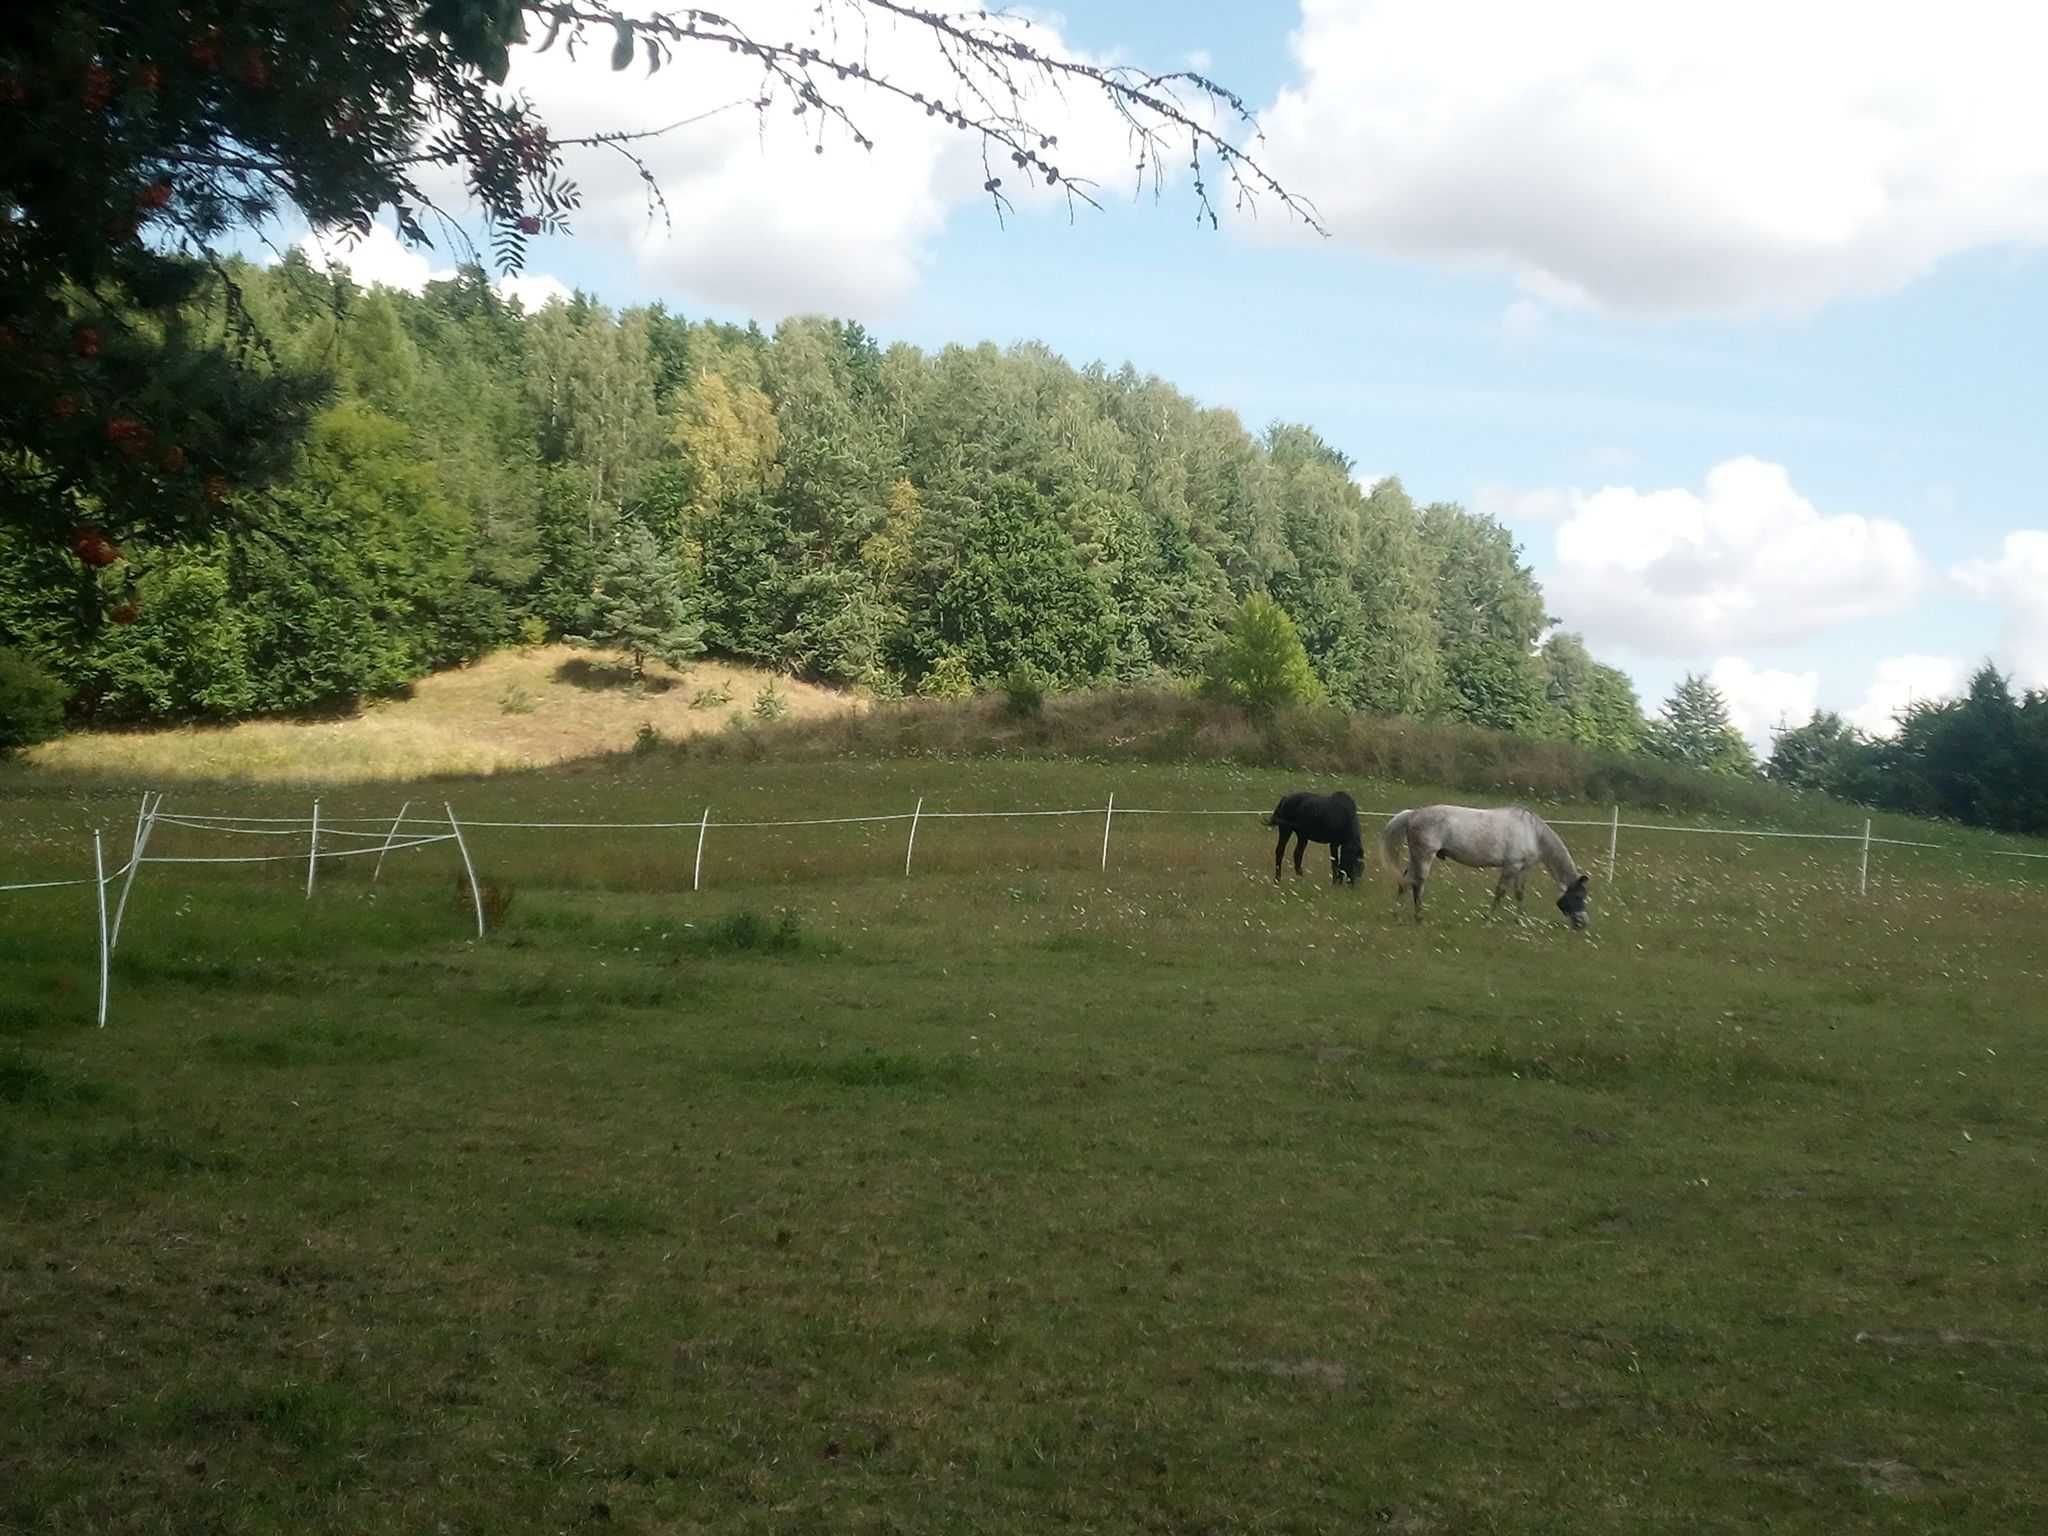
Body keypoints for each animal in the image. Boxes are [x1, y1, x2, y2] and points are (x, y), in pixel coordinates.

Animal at [1384, 811, 1589, 933]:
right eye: (1579, 896)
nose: (1583, 924)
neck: (1532, 834)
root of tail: (1413, 814)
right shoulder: (1511, 867)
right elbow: (1500, 893)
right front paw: (1488, 921)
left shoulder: (1522, 869)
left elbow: (1519, 894)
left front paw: (1519, 922)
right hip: (1424, 857)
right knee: (1417, 885)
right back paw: (1419, 919)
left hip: (1416, 857)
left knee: (1404, 881)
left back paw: (1396, 915)